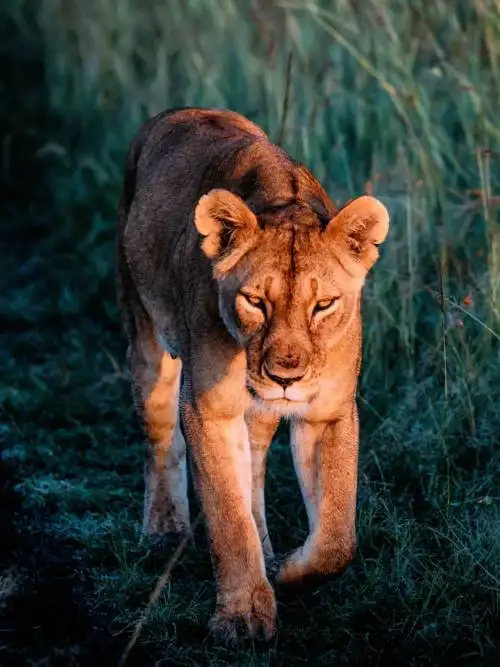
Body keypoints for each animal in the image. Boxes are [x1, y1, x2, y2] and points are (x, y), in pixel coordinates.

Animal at [116, 107, 389, 642]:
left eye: (324, 304)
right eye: (255, 301)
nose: (285, 377)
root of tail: (174, 113)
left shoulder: (328, 413)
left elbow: (337, 536)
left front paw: (286, 571)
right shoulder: (208, 410)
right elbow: (227, 516)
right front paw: (243, 615)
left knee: (256, 471)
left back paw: (266, 549)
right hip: (145, 334)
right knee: (161, 439)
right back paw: (163, 527)